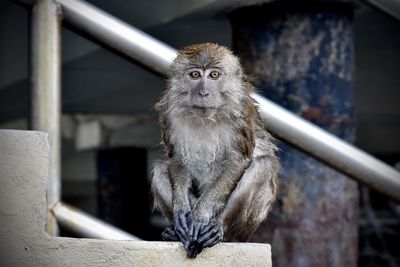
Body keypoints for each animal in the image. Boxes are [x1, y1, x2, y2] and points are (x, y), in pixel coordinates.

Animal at [150, 43, 278, 258]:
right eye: (195, 75)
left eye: (214, 75)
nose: (203, 93)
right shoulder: (169, 110)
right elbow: (177, 158)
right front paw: (181, 211)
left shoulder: (241, 110)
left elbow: (238, 160)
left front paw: (199, 216)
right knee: (160, 170)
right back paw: (175, 232)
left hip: (245, 228)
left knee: (264, 165)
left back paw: (218, 229)